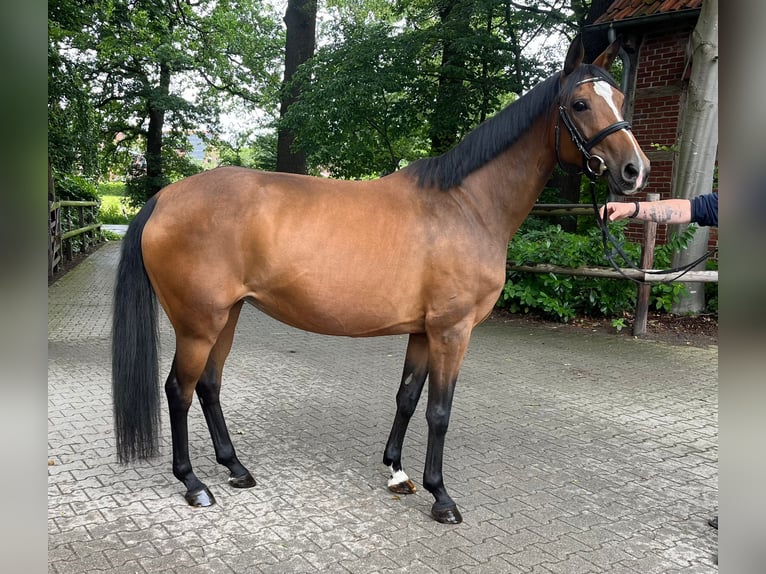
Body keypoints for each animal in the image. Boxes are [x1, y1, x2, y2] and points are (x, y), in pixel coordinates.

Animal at [111, 35, 648, 520]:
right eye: (579, 103)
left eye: (620, 100)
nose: (634, 171)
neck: (466, 206)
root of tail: (164, 198)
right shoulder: (452, 331)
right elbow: (439, 412)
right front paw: (441, 496)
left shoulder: (423, 331)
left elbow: (408, 397)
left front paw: (398, 471)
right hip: (198, 324)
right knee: (179, 391)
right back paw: (193, 483)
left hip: (228, 316)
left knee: (208, 386)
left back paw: (235, 468)